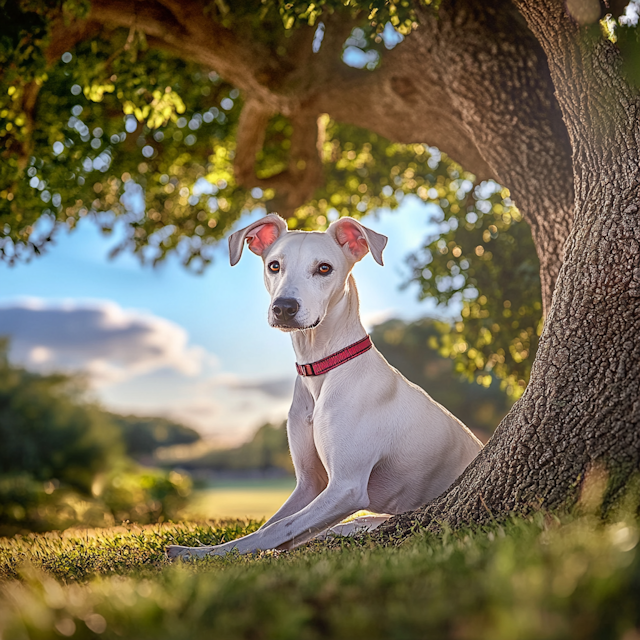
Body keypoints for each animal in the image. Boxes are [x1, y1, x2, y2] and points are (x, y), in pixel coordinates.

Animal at [168, 212, 482, 556]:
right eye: (274, 265)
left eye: (324, 268)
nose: (284, 308)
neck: (323, 367)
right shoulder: (310, 484)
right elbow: (271, 525)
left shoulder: (346, 487)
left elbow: (273, 530)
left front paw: (199, 554)